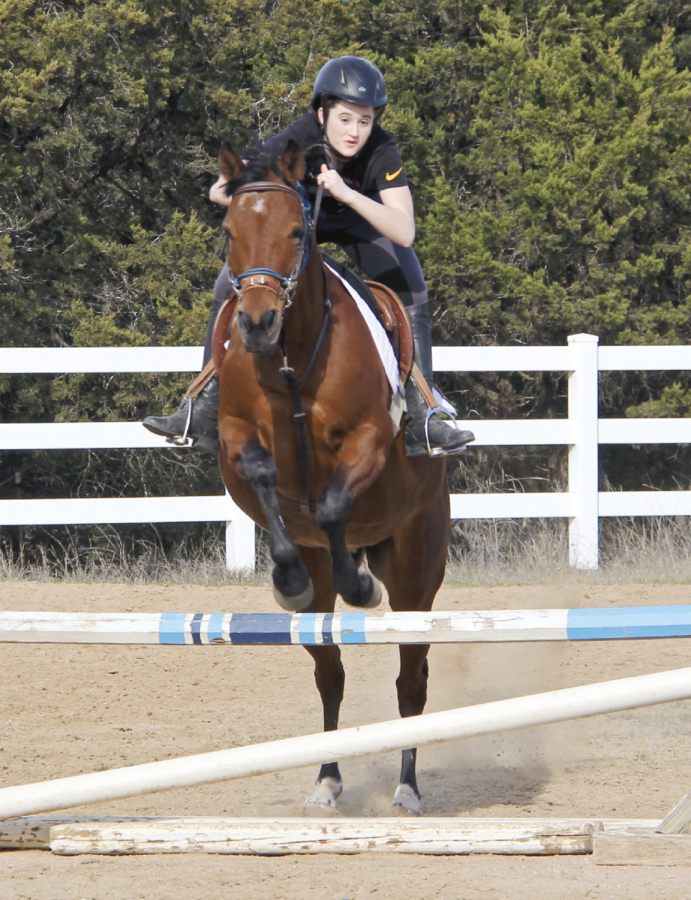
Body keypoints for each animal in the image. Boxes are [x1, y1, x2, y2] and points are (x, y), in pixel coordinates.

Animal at [218, 139, 454, 816]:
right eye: (229, 233)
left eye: (298, 232)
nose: (257, 324)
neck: (292, 362)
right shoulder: (234, 437)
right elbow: (264, 478)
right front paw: (286, 578)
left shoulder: (369, 440)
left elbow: (329, 505)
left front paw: (360, 586)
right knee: (331, 675)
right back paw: (326, 778)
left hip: (417, 566)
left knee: (410, 680)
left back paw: (407, 786)